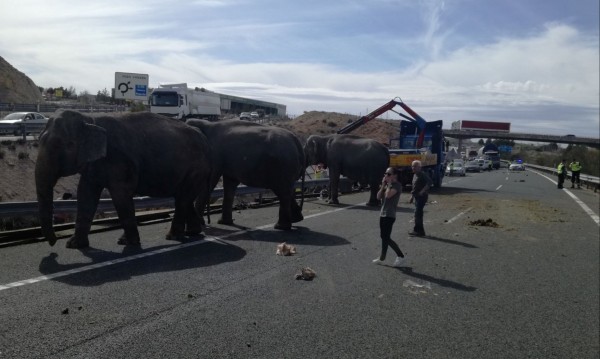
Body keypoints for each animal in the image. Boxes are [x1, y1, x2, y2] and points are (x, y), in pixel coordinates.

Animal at [35, 111, 212, 249]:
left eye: (66, 145)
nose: (53, 242)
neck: (90, 119)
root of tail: (204, 138)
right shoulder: (94, 164)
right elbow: (85, 194)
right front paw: (74, 245)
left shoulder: (119, 160)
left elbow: (120, 194)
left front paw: (128, 242)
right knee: (183, 198)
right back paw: (192, 232)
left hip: (196, 169)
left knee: (182, 199)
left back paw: (173, 237)